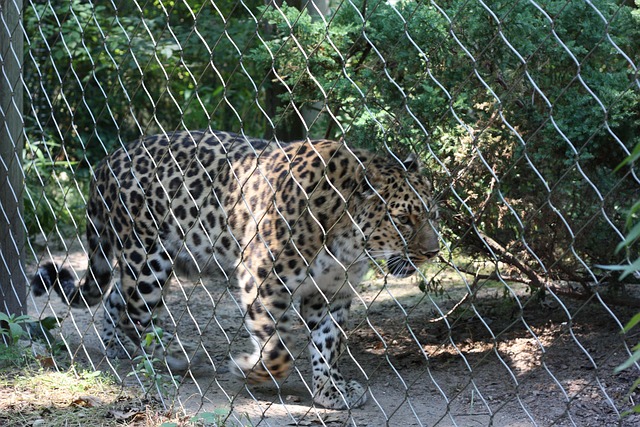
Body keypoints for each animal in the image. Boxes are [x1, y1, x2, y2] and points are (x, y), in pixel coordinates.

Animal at [31, 129, 439, 409]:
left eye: (431, 214)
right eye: (404, 219)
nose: (433, 251)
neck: (347, 238)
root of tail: (108, 160)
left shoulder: (331, 293)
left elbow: (329, 344)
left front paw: (331, 391)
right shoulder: (264, 277)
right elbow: (277, 349)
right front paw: (249, 368)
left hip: (160, 255)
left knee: (117, 295)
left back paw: (117, 347)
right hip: (149, 254)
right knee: (138, 310)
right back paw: (171, 356)